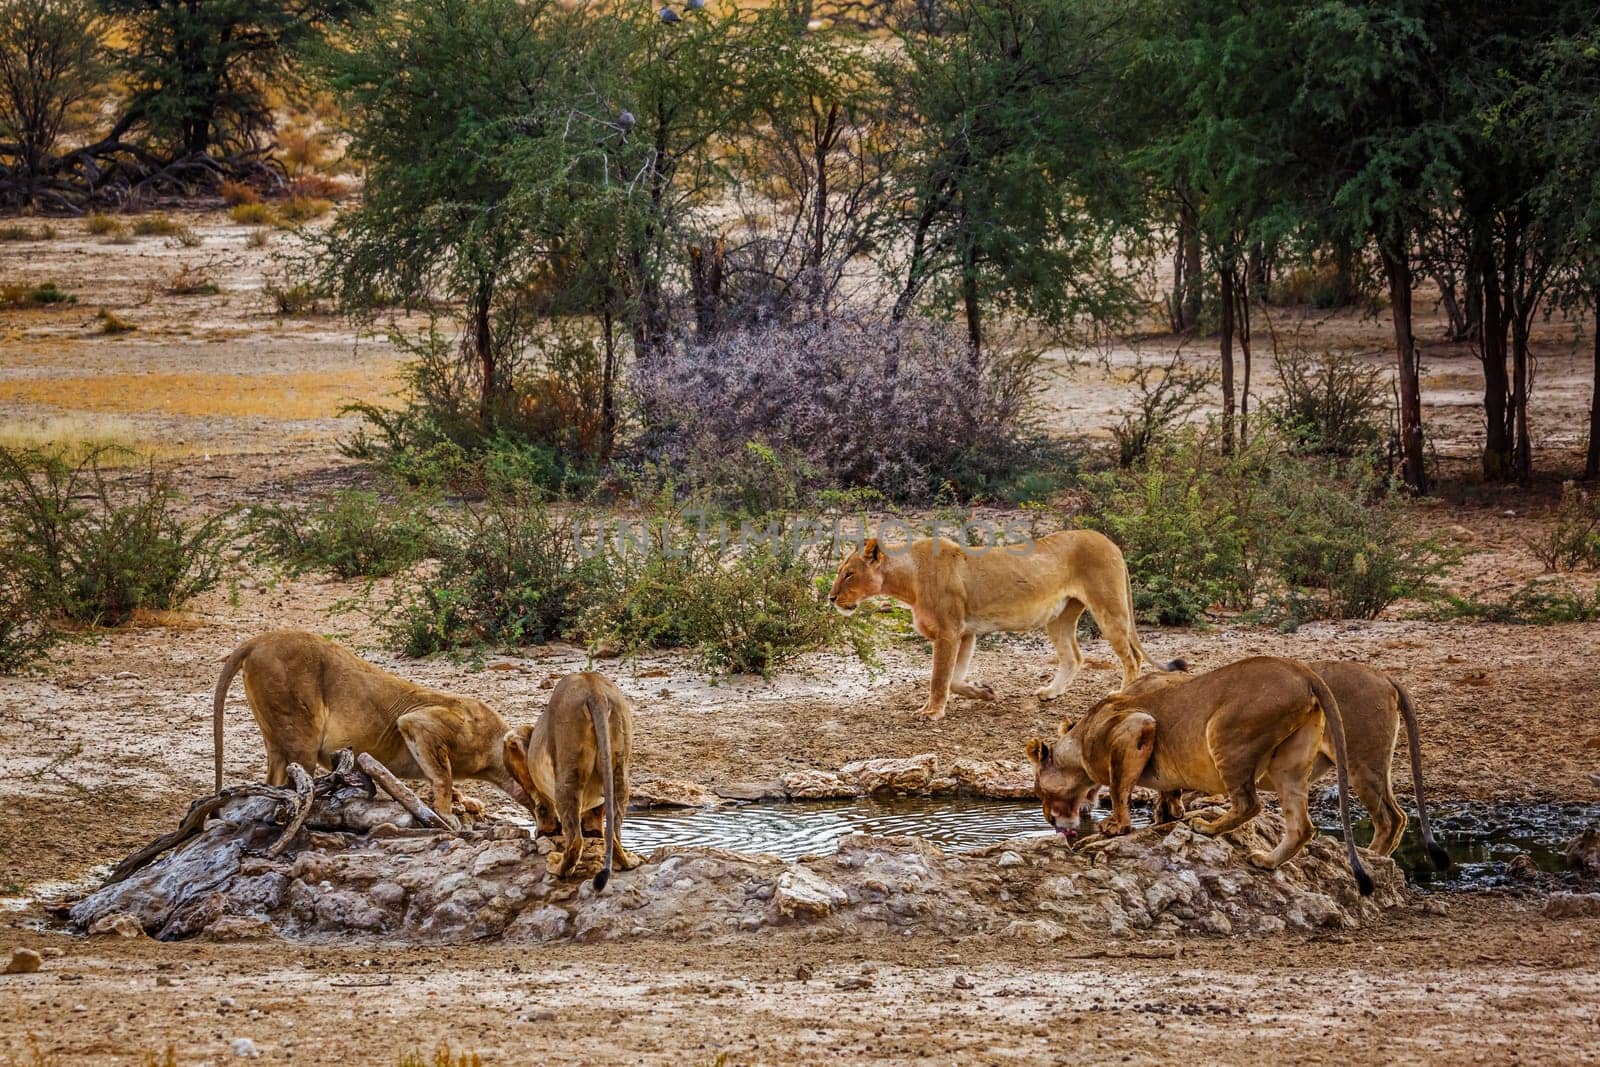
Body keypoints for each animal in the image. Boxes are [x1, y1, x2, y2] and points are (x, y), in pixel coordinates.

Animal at [209, 630, 537, 825]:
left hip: (277, 737)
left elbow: (447, 779)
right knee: (294, 785)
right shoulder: (420, 722)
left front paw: (466, 804)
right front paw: (446, 815)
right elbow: (443, 776)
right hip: (298, 730)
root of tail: (259, 639)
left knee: (273, 782)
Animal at [505, 671, 643, 889]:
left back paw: (557, 866)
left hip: (567, 773)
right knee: (612, 832)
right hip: (620, 769)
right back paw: (628, 861)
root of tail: (594, 689)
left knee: (575, 840)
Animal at [832, 531, 1158, 723]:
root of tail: (1110, 542)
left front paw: (932, 712)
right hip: (1060, 617)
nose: (830, 597)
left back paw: (1120, 698)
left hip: (1108, 606)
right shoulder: (965, 633)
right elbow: (953, 679)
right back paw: (1050, 693)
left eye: (849, 574)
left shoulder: (949, 631)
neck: (907, 580)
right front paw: (984, 692)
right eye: (841, 572)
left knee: (1132, 657)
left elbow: (939, 678)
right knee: (1074, 657)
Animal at [1024, 659, 1376, 895]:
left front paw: (1116, 826)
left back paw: (1206, 827)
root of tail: (1302, 671)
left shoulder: (1136, 726)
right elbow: (1167, 791)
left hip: (1226, 734)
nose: (1048, 819)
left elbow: (1119, 785)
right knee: (1301, 826)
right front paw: (1166, 814)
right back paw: (1266, 861)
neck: (1079, 742)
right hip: (1290, 763)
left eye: (1040, 791)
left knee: (1249, 803)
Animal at [1126, 659, 1452, 870]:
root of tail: (1385, 677)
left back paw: (1367, 857)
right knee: (1398, 815)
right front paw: (1167, 811)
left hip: (1360, 763)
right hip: (1369, 765)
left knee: (1389, 818)